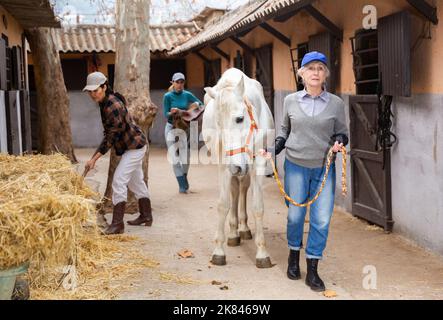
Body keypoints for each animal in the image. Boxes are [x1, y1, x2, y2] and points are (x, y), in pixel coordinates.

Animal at [204, 69, 274, 268]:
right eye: (218, 124)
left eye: (239, 119)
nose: (236, 167)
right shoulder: (224, 165)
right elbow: (223, 204)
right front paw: (218, 251)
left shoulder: (258, 163)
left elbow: (258, 206)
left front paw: (262, 253)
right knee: (235, 191)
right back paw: (234, 233)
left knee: (242, 189)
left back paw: (243, 228)